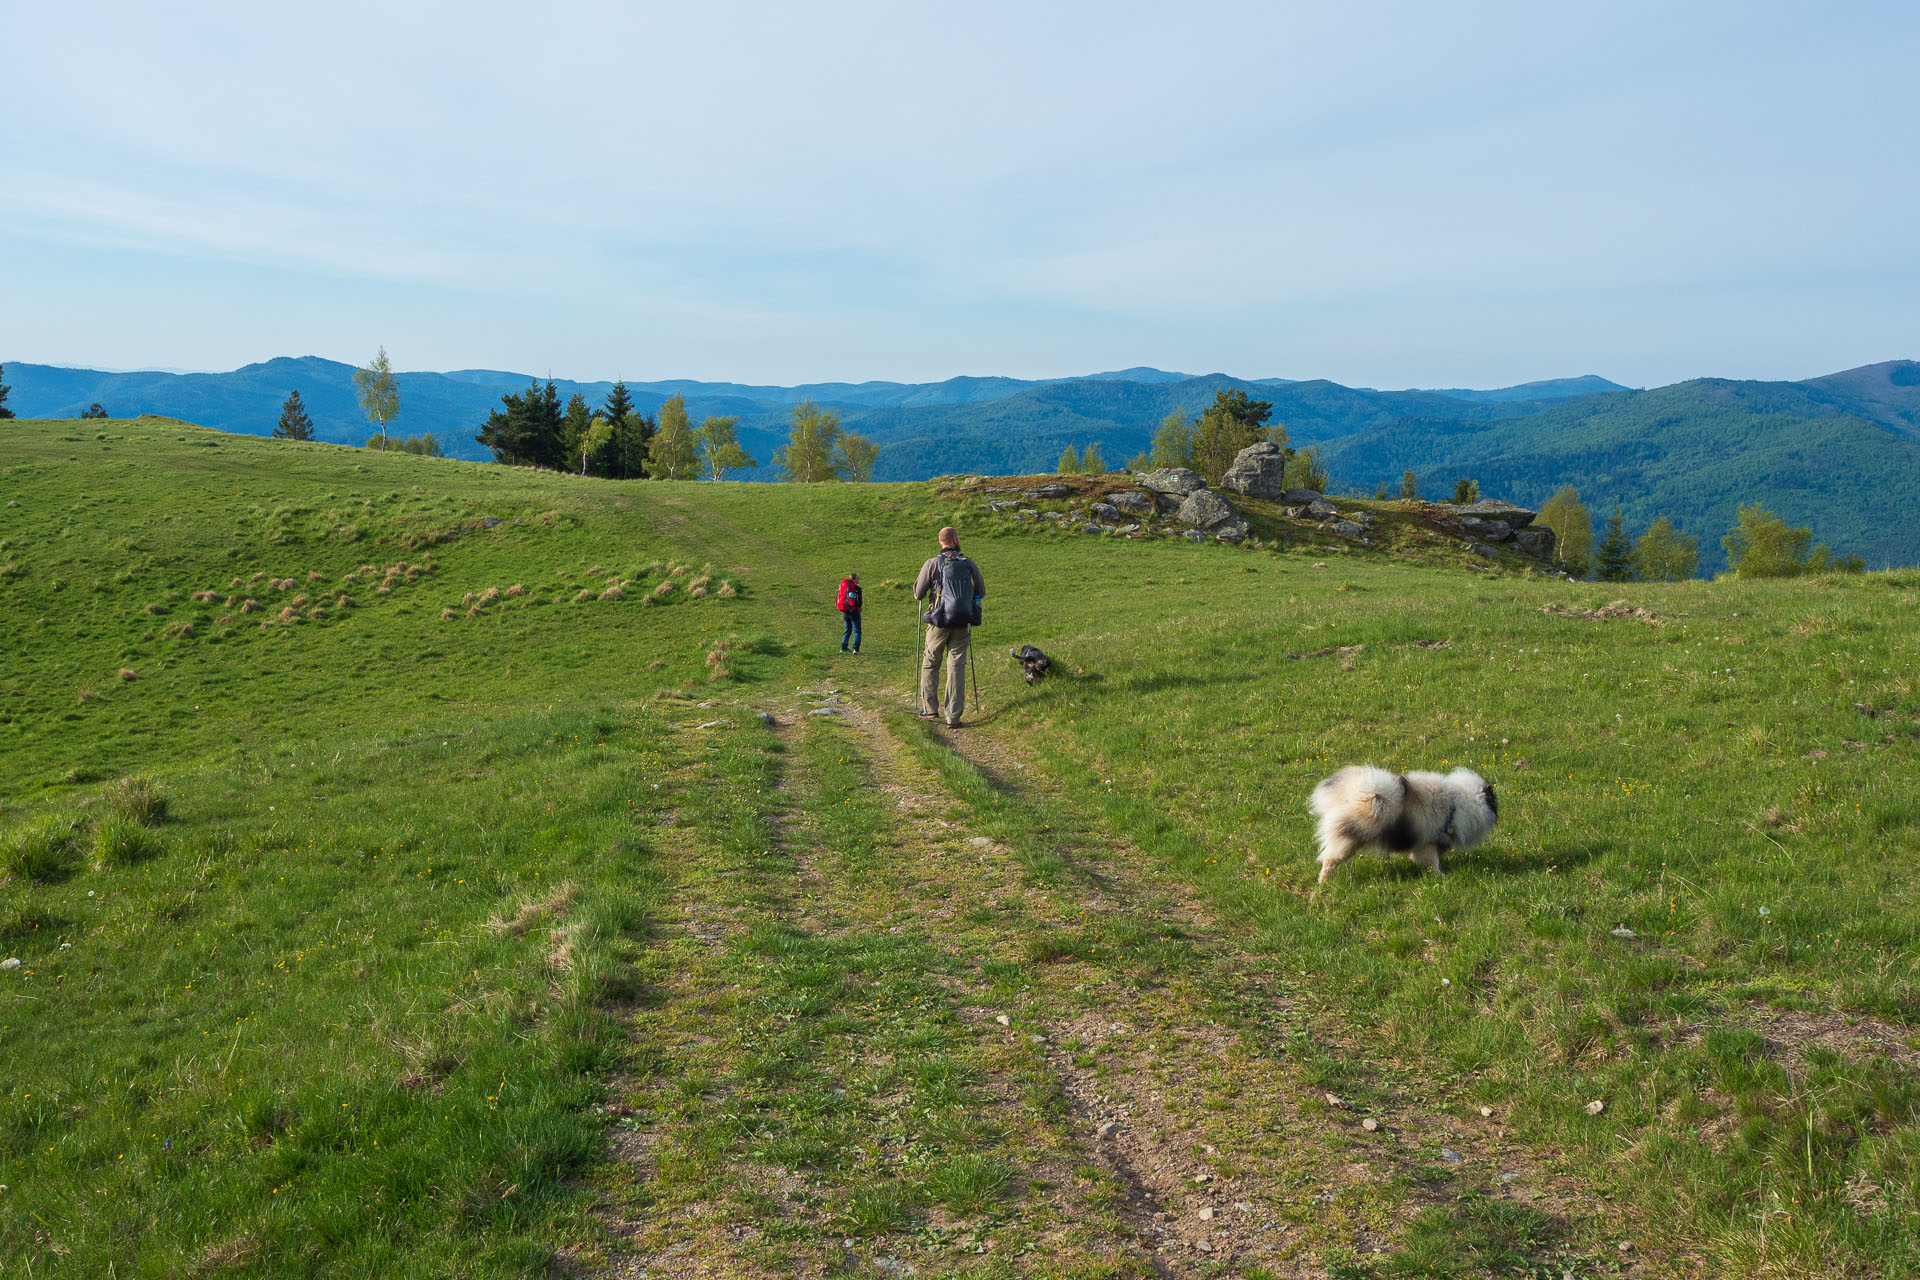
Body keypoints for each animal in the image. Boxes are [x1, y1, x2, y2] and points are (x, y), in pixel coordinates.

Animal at [1313, 767, 1489, 886]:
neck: (1455, 805)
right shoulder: (1429, 843)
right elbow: (1434, 862)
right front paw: (1440, 876)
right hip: (1349, 840)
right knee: (1329, 861)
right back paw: (1323, 882)